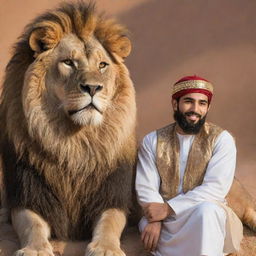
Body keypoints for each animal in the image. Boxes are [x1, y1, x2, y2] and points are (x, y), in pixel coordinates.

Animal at [0, 2, 136, 256]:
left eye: (102, 65)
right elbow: (32, 224)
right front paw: (36, 249)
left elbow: (110, 222)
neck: (75, 143)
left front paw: (106, 248)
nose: (93, 88)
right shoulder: (27, 195)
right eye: (69, 62)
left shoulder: (112, 194)